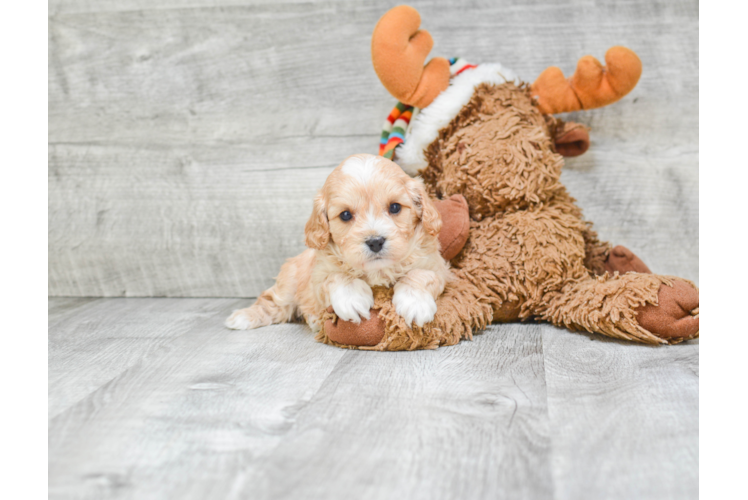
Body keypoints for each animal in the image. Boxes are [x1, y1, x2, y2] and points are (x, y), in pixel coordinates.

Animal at [225, 152, 450, 332]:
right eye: (345, 215)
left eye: (395, 207)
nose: (375, 242)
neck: (377, 271)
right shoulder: (317, 276)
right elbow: (336, 277)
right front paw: (352, 299)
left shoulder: (438, 268)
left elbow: (421, 274)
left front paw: (415, 303)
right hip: (289, 283)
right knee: (272, 301)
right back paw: (244, 317)